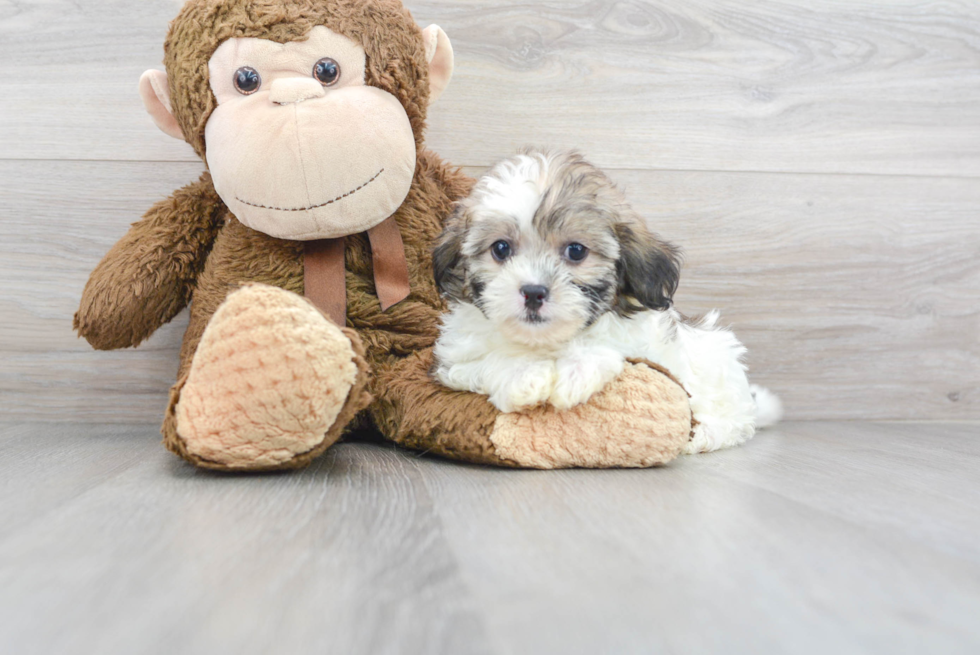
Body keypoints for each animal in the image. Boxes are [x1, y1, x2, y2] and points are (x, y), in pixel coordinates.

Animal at [430, 151, 780, 454]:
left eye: (576, 251)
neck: (546, 342)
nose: (533, 292)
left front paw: (575, 373)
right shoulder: (453, 364)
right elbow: (489, 360)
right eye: (500, 248)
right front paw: (523, 375)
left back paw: (705, 434)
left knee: (734, 420)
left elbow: (608, 343)